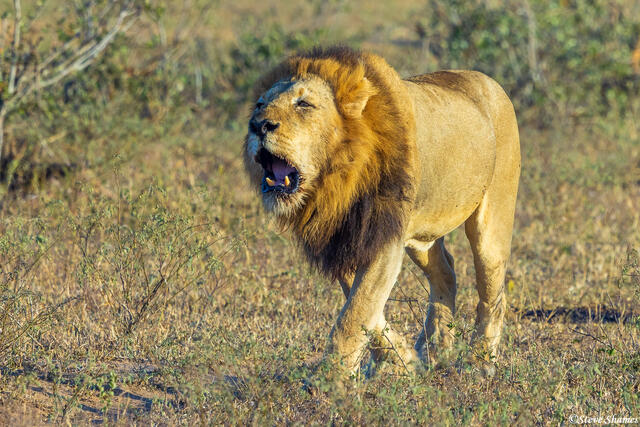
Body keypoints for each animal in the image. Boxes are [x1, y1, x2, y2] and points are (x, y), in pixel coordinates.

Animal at [243, 46, 520, 374]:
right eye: (259, 104)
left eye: (304, 104)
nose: (258, 125)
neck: (336, 181)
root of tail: (488, 80)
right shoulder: (346, 241)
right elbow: (366, 311)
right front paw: (403, 361)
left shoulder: (382, 238)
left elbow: (355, 313)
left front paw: (330, 379)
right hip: (422, 237)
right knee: (446, 273)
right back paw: (435, 349)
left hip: (491, 226)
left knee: (493, 294)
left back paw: (480, 360)